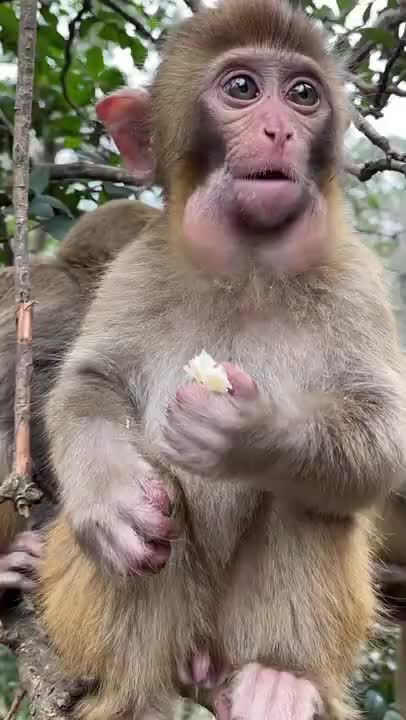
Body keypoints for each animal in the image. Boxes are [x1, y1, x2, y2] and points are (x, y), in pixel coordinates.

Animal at [38, 1, 406, 719]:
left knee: (307, 494)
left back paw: (281, 679)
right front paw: (111, 496)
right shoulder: (139, 266)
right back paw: (135, 696)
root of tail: (202, 657)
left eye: (303, 94)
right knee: (156, 500)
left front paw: (250, 430)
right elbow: (90, 383)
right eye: (241, 88)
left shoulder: (356, 277)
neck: (249, 266)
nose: (278, 129)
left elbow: (384, 434)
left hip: (235, 627)